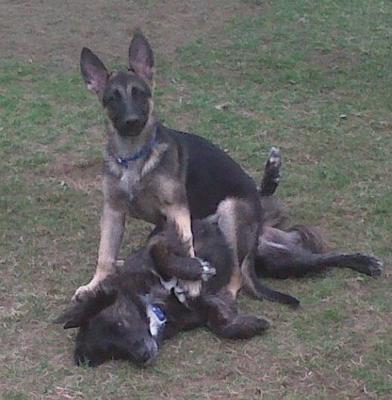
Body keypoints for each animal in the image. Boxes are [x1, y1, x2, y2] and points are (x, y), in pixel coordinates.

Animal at [56, 149, 382, 366]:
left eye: (119, 326)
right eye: (112, 352)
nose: (143, 356)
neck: (152, 301)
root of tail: (265, 229)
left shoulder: (166, 234)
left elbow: (161, 254)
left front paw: (195, 269)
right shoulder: (204, 306)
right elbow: (219, 325)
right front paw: (249, 325)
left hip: (234, 212)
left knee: (264, 202)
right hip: (283, 262)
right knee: (321, 258)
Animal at [73, 30, 290, 306]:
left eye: (139, 93)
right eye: (112, 98)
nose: (132, 121)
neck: (134, 157)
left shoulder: (177, 208)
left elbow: (187, 247)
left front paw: (191, 282)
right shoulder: (113, 210)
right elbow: (105, 254)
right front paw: (95, 284)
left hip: (229, 212)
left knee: (237, 271)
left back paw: (225, 292)